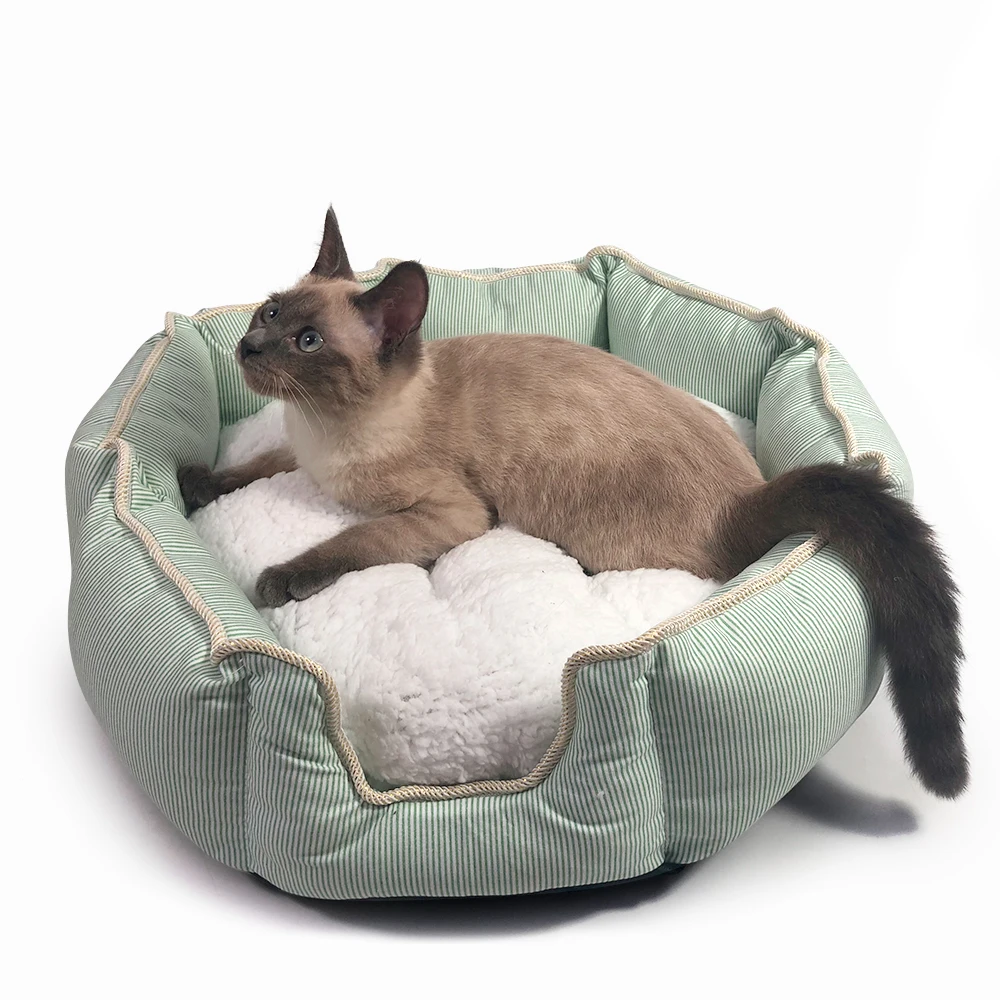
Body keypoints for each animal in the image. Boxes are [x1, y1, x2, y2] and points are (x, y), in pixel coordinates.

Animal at [180, 207, 966, 799]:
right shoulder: (298, 456)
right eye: (270, 312)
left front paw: (281, 578)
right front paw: (196, 483)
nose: (250, 348)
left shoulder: (450, 515)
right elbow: (256, 465)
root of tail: (753, 495)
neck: (326, 432)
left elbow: (350, 542)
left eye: (308, 341)